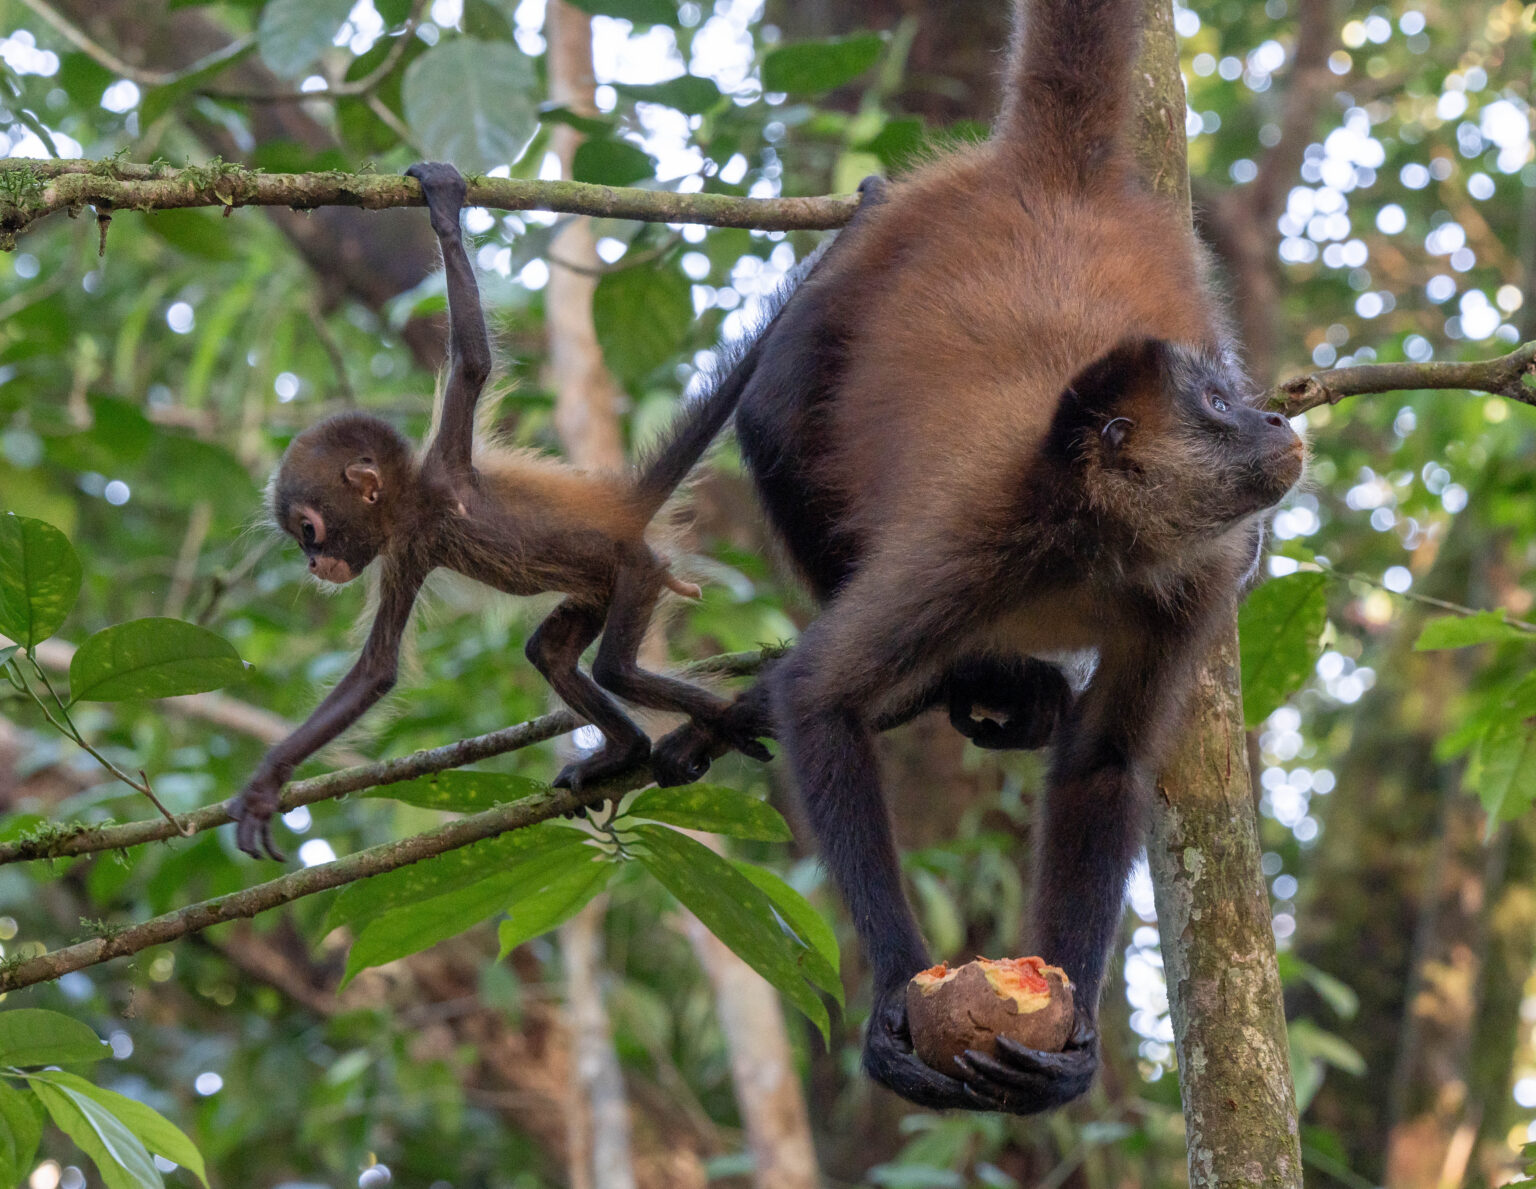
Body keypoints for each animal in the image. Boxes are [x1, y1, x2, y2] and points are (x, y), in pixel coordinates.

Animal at [224, 161, 782, 861]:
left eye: (308, 531)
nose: (313, 564)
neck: (418, 504)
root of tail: (625, 512)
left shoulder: (442, 478)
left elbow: (474, 363)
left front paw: (444, 207)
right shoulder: (407, 549)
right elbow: (376, 671)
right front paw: (267, 783)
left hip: (637, 571)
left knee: (615, 667)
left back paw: (719, 722)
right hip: (599, 586)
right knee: (549, 652)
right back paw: (627, 749)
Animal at [648, 0, 1306, 1114]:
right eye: (1218, 407)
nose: (1271, 419)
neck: (1091, 539)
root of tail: (1051, 173)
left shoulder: (1186, 580)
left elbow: (1104, 762)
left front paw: (1071, 1037)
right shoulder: (976, 535)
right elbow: (817, 694)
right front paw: (893, 998)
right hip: (884, 245)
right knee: (774, 413)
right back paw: (986, 671)